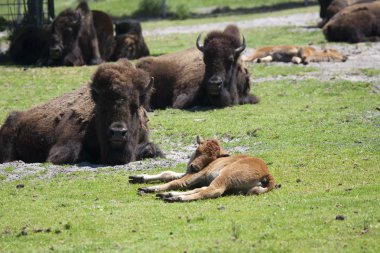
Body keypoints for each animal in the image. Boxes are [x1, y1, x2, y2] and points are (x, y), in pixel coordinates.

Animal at [129, 136, 274, 202]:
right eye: (198, 150)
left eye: (211, 157)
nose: (194, 167)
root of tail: (267, 173)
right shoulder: (189, 174)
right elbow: (168, 174)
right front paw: (137, 177)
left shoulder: (196, 175)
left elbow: (175, 182)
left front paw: (147, 188)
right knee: (203, 189)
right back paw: (168, 195)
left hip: (225, 176)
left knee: (212, 191)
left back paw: (173, 198)